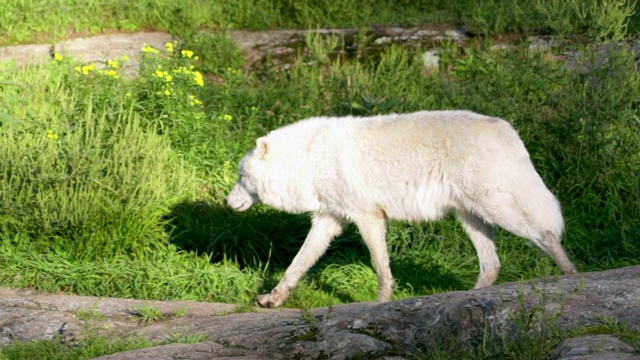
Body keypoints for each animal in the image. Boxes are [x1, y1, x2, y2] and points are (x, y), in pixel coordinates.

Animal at [228, 109, 576, 306]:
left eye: (241, 176)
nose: (228, 202)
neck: (309, 160)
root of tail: (506, 129)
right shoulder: (329, 220)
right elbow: (296, 266)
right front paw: (273, 299)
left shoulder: (368, 217)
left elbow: (381, 267)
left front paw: (382, 302)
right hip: (471, 218)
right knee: (492, 265)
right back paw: (465, 298)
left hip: (495, 210)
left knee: (545, 235)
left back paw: (572, 278)